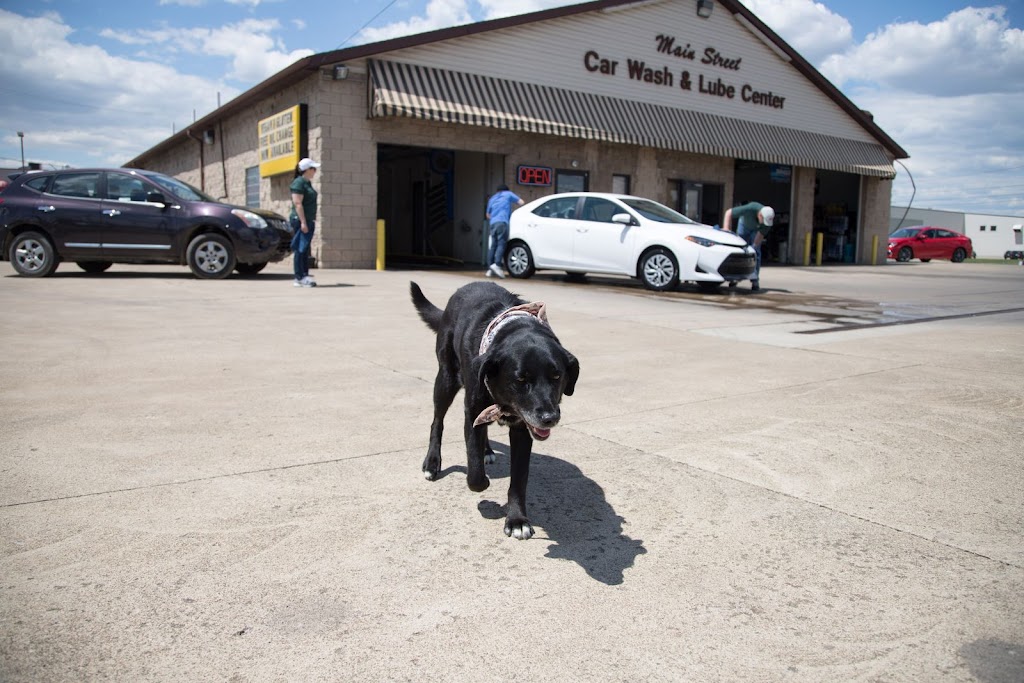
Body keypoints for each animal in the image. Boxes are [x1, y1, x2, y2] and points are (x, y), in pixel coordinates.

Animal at [411, 282, 581, 540]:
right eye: (520, 379)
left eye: (556, 376)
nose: (549, 418)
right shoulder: (473, 413)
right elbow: (474, 474)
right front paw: (484, 488)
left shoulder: (522, 429)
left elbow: (518, 480)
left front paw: (517, 520)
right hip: (446, 379)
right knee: (437, 422)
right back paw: (432, 463)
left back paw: (487, 450)